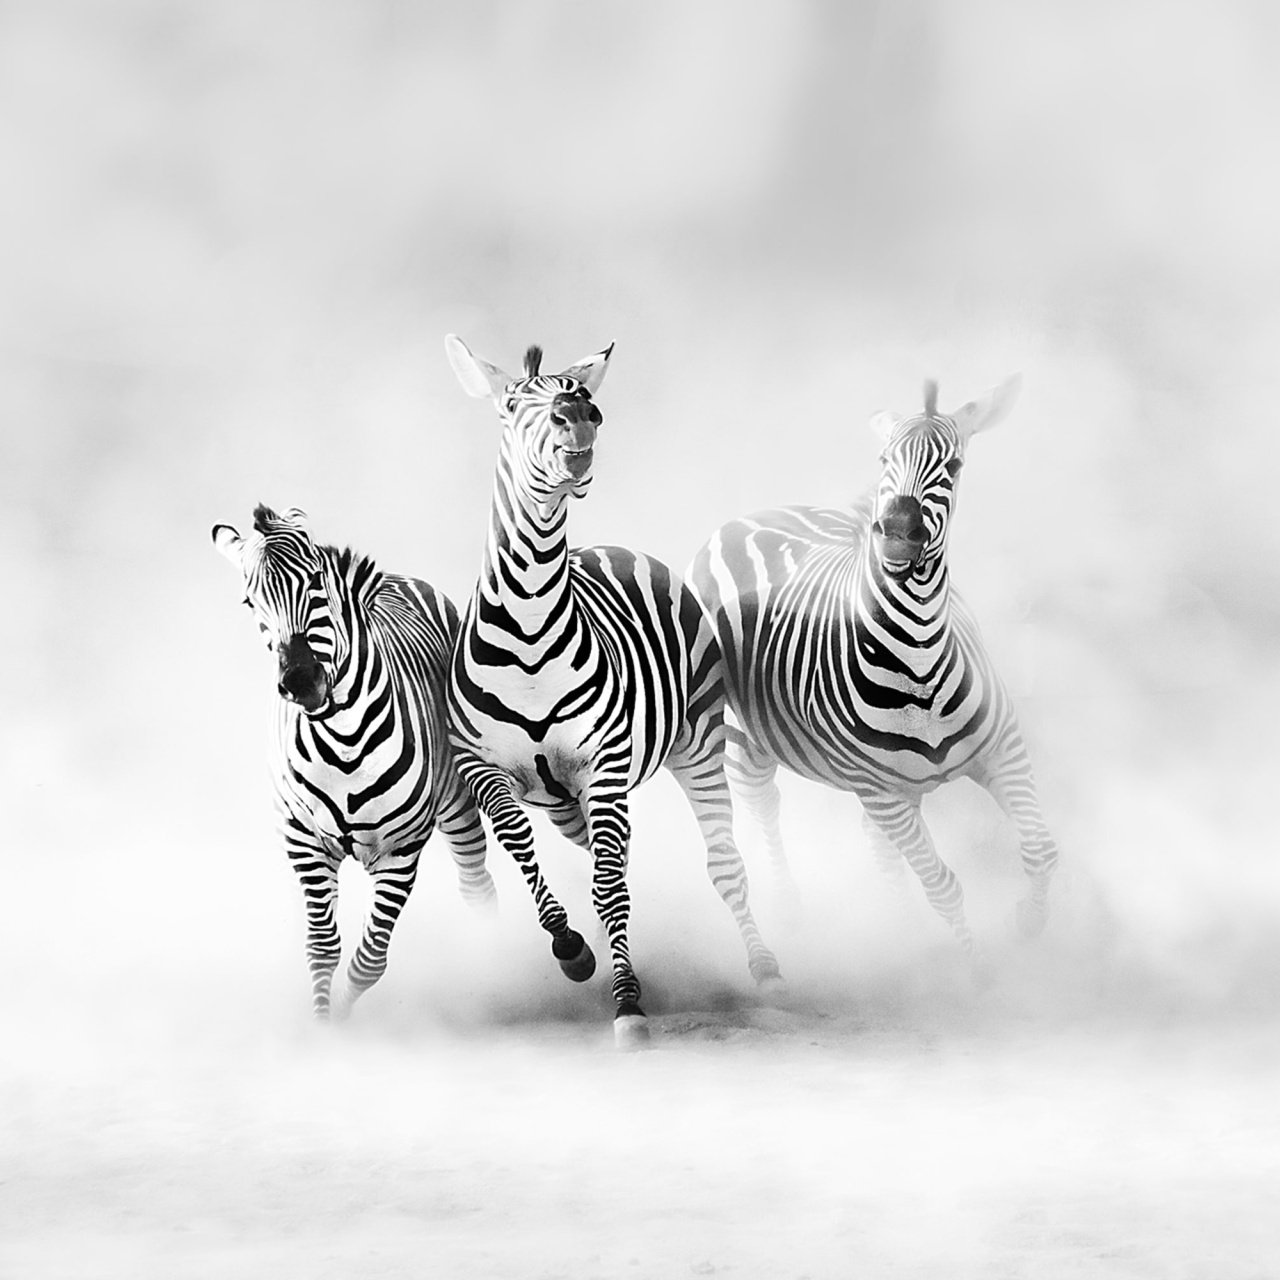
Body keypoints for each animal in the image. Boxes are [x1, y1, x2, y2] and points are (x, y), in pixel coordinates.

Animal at [212, 503, 495, 1019]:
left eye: (316, 582)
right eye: (249, 602)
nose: (300, 681)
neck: (342, 739)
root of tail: (398, 578)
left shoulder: (401, 849)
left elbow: (370, 960)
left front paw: (342, 1015)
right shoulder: (304, 842)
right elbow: (323, 947)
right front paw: (326, 1025)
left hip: (457, 804)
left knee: (477, 886)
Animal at [444, 336, 781, 1047]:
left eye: (581, 396)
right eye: (511, 405)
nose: (580, 416)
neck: (529, 626)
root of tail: (615, 547)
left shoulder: (602, 765)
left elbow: (608, 888)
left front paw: (628, 1001)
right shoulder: (487, 770)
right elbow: (525, 853)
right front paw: (573, 950)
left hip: (696, 744)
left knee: (722, 861)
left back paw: (766, 970)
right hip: (566, 799)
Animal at [689, 377, 1059, 959]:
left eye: (954, 465)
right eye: (885, 459)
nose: (897, 532)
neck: (921, 657)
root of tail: (752, 516)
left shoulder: (1002, 749)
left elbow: (1040, 848)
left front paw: (1029, 922)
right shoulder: (882, 794)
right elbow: (943, 886)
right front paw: (977, 969)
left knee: (872, 842)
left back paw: (901, 927)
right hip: (742, 730)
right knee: (761, 800)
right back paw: (791, 909)